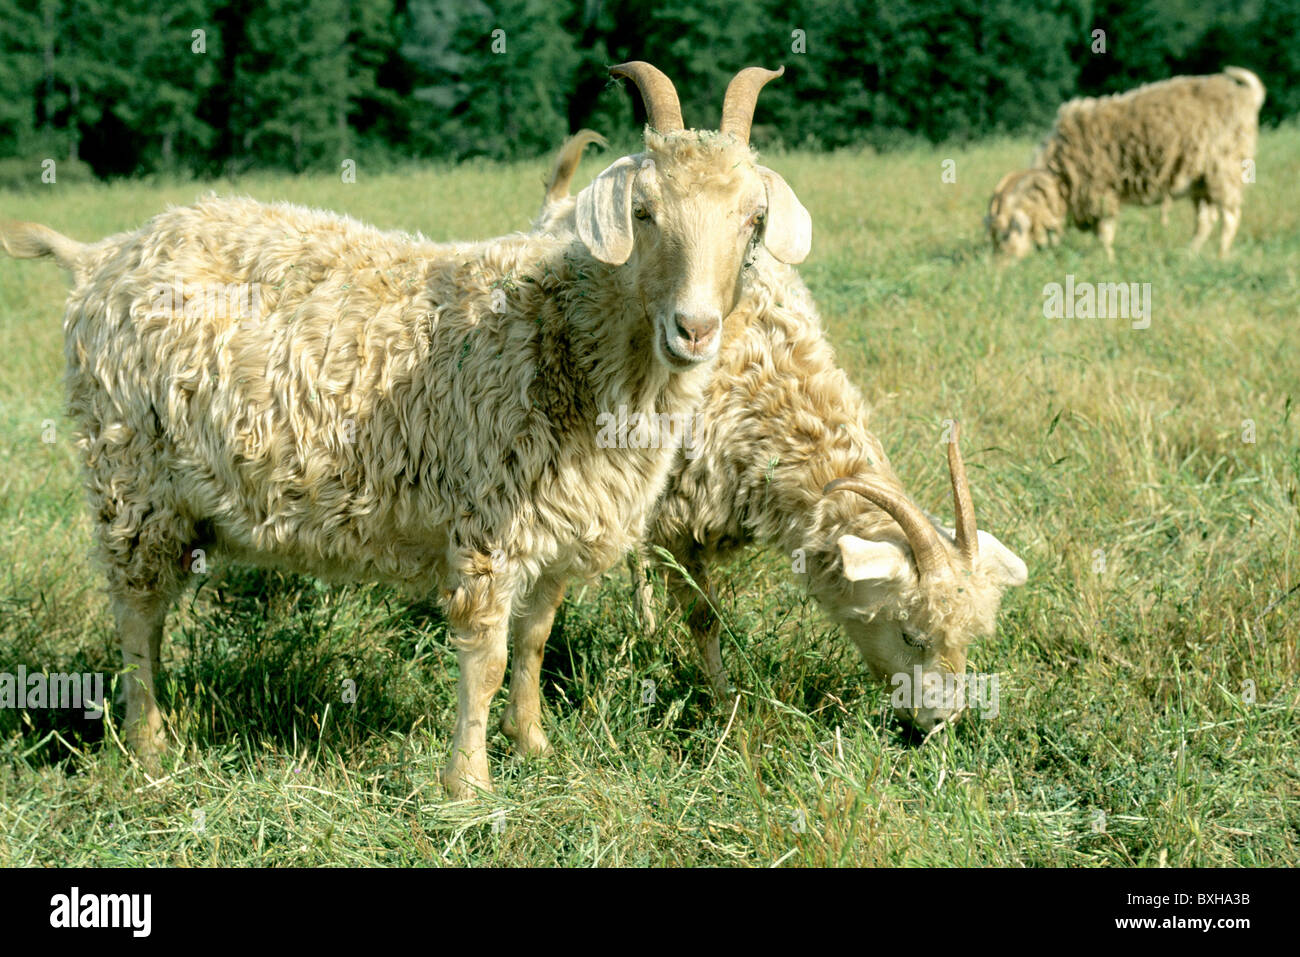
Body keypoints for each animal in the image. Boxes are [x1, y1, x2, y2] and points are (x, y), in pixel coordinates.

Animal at [2, 63, 811, 795]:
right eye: (643, 211)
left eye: (754, 220)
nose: (695, 328)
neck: (563, 333)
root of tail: (99, 258)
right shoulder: (488, 520)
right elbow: (486, 657)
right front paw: (470, 785)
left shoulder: (559, 522)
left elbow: (535, 640)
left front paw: (535, 744)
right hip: (132, 478)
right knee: (136, 614)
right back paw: (150, 748)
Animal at [533, 136, 1029, 733]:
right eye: (911, 634)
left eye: (968, 638)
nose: (941, 722)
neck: (763, 395)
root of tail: (562, 205)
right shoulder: (676, 516)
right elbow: (705, 617)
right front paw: (723, 702)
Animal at [987, 65, 1263, 261]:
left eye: (1007, 233)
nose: (1000, 268)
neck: (1061, 175)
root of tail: (1247, 96)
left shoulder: (1101, 191)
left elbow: (1104, 232)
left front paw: (1108, 260)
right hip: (1201, 181)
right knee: (1206, 220)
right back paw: (1189, 254)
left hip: (1226, 167)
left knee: (1230, 216)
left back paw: (1221, 256)